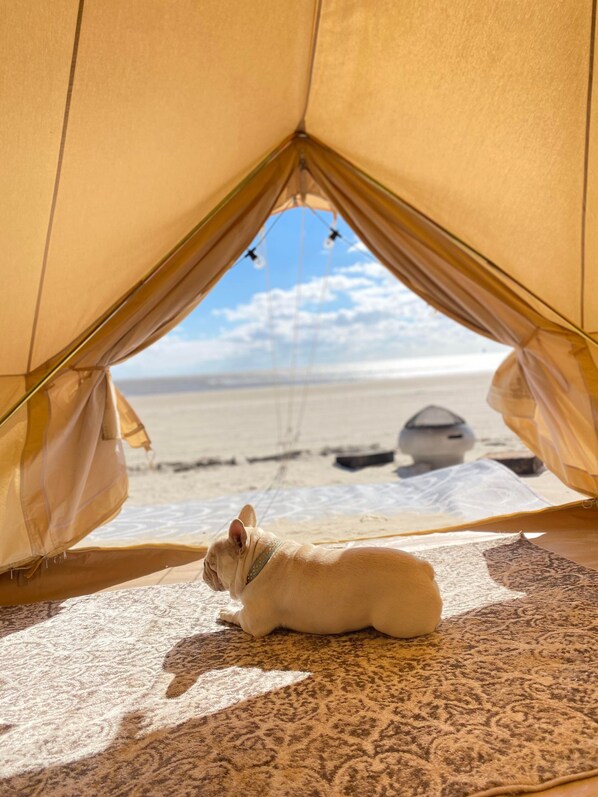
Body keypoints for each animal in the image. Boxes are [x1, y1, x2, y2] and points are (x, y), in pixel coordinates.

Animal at [204, 504, 442, 640]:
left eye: (211, 563)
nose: (204, 569)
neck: (260, 557)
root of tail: (424, 570)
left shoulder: (252, 622)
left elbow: (236, 614)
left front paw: (225, 611)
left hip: (394, 622)